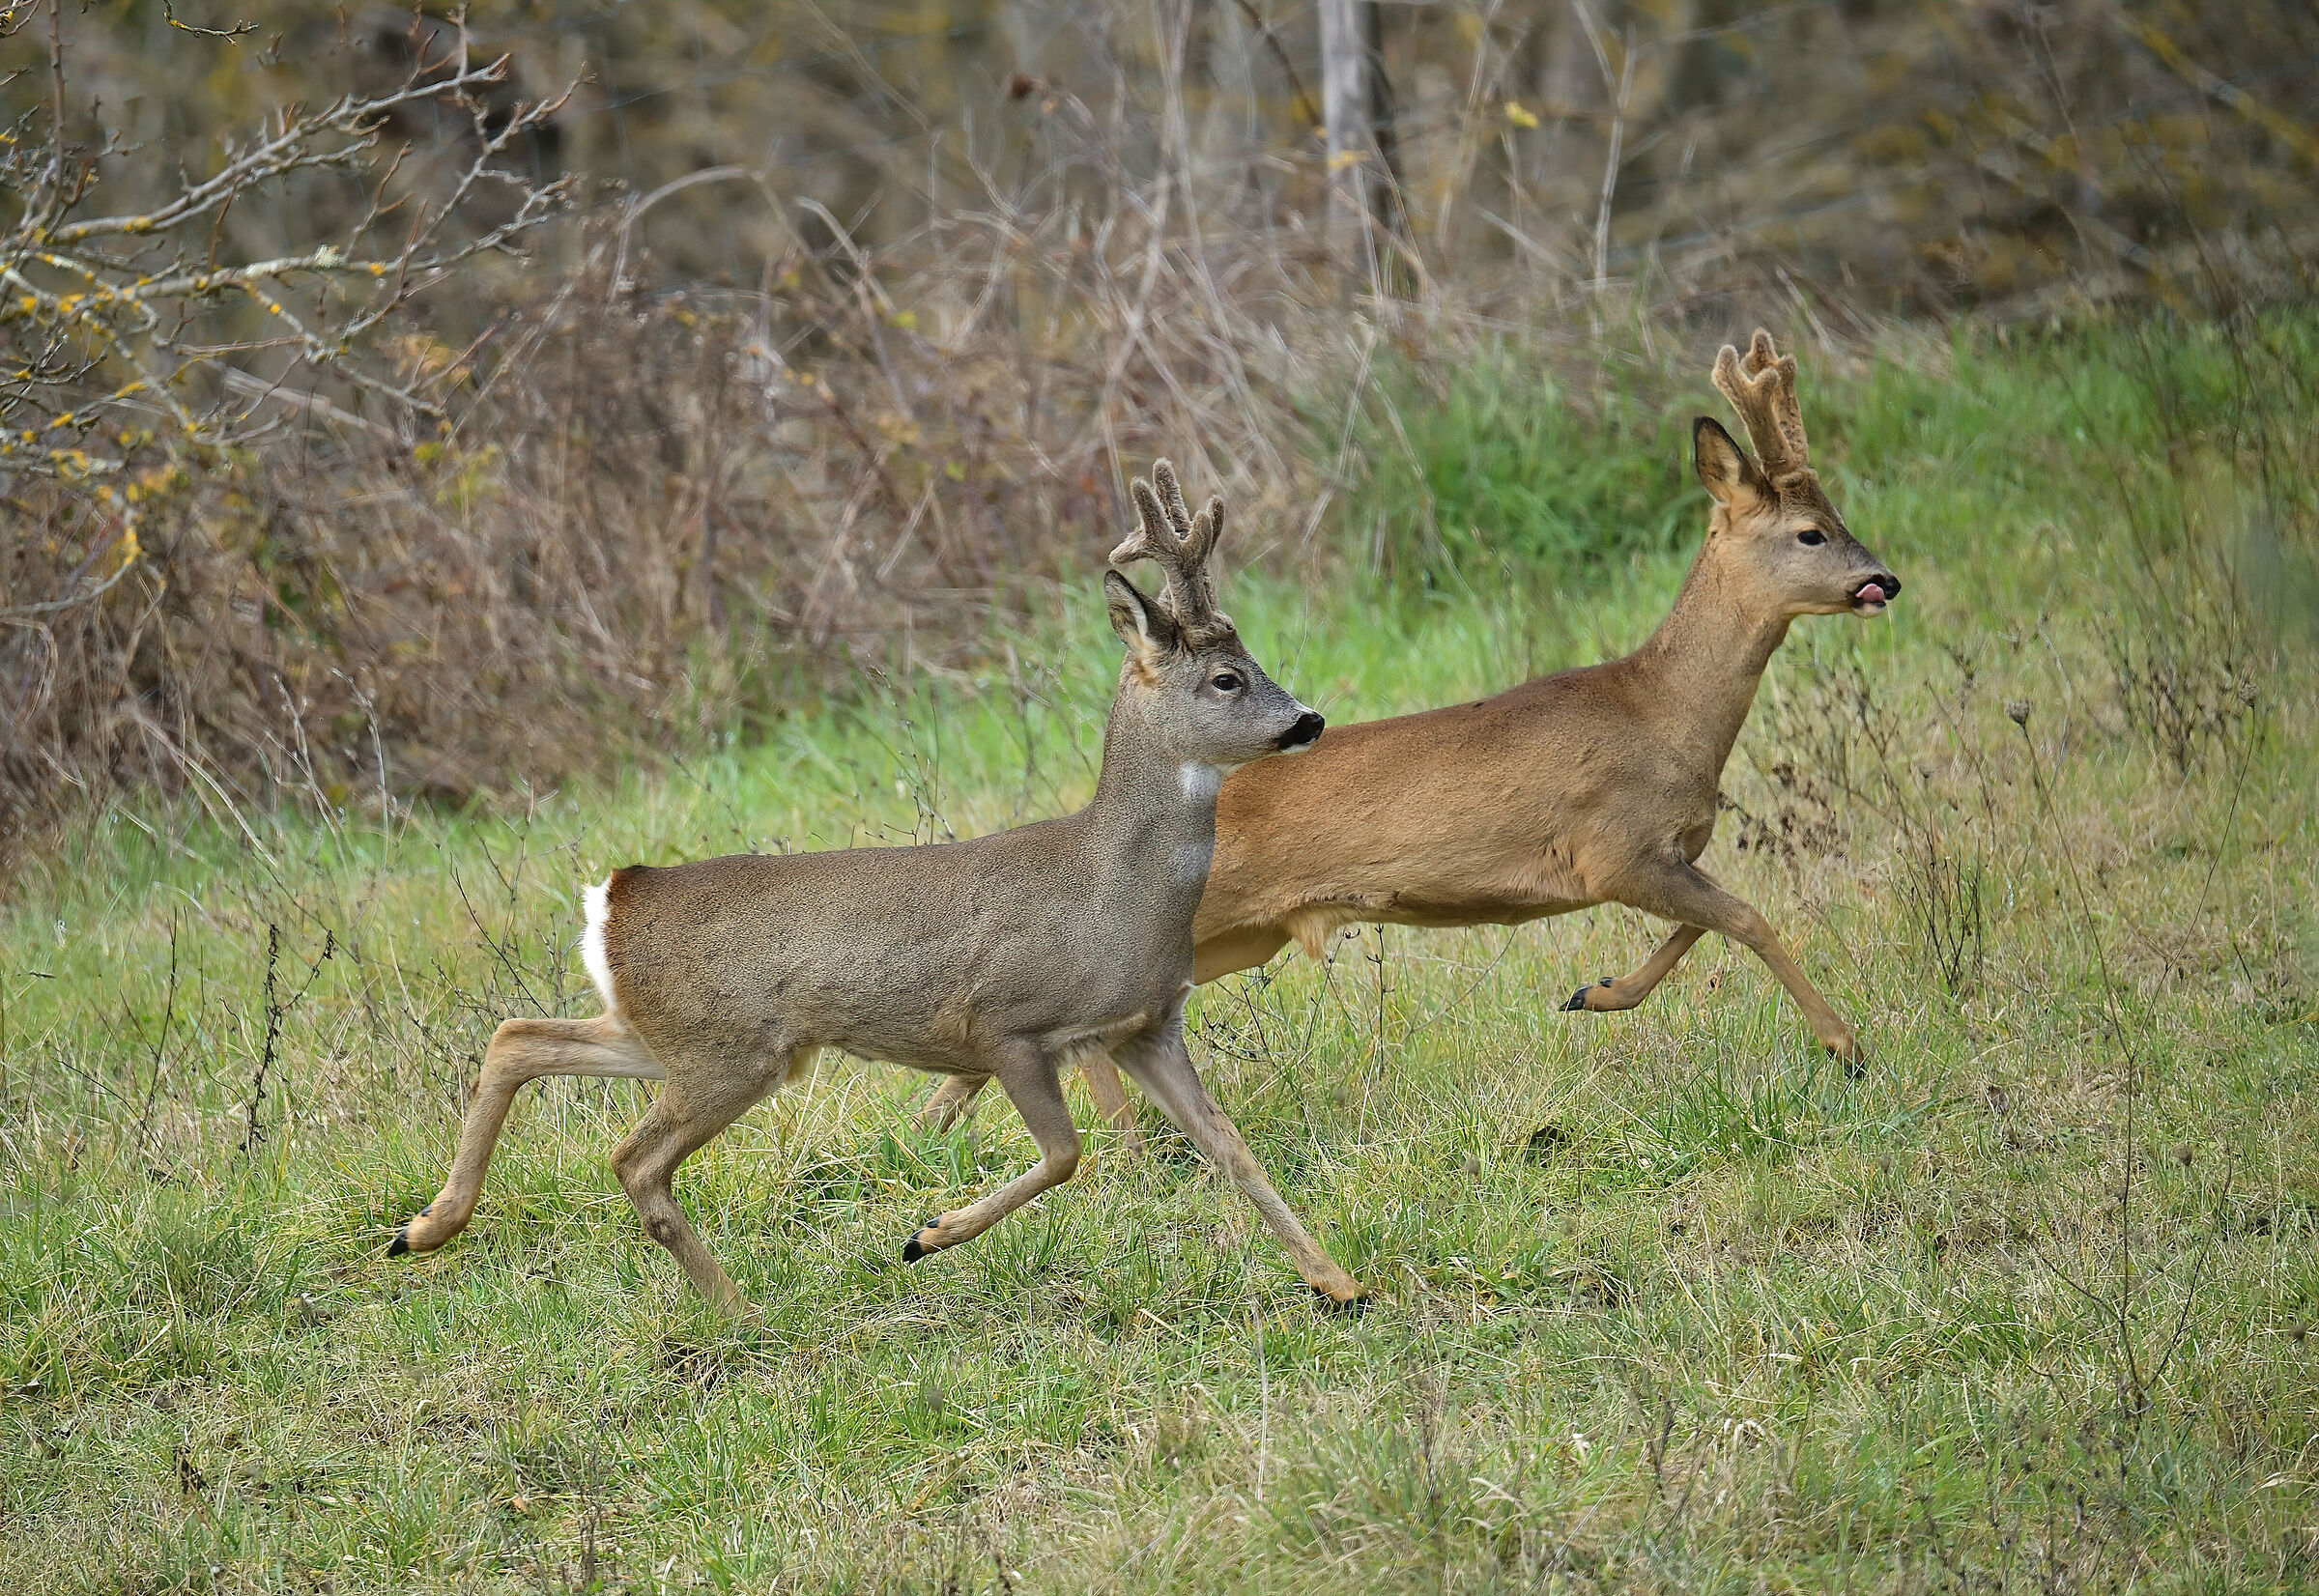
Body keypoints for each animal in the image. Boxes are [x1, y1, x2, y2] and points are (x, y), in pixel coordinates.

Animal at [387, 462, 1370, 1315]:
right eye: (1227, 678)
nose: (1309, 720)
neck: (1114, 893)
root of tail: (616, 897)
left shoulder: (1146, 1026)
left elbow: (1233, 1153)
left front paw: (1341, 1285)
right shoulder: (1004, 1022)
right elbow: (1066, 1156)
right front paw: (928, 1235)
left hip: (678, 1035)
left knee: (518, 1038)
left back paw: (425, 1227)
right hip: (729, 1051)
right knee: (631, 1157)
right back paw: (737, 1312)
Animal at [921, 331, 1899, 1138]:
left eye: (1840, 516)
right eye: (1811, 533)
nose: (1883, 579)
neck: (1664, 711)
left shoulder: (1658, 853)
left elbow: (1700, 930)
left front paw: (1593, 993)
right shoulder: (1611, 846)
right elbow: (1748, 917)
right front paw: (1848, 1049)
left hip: (1241, 935)